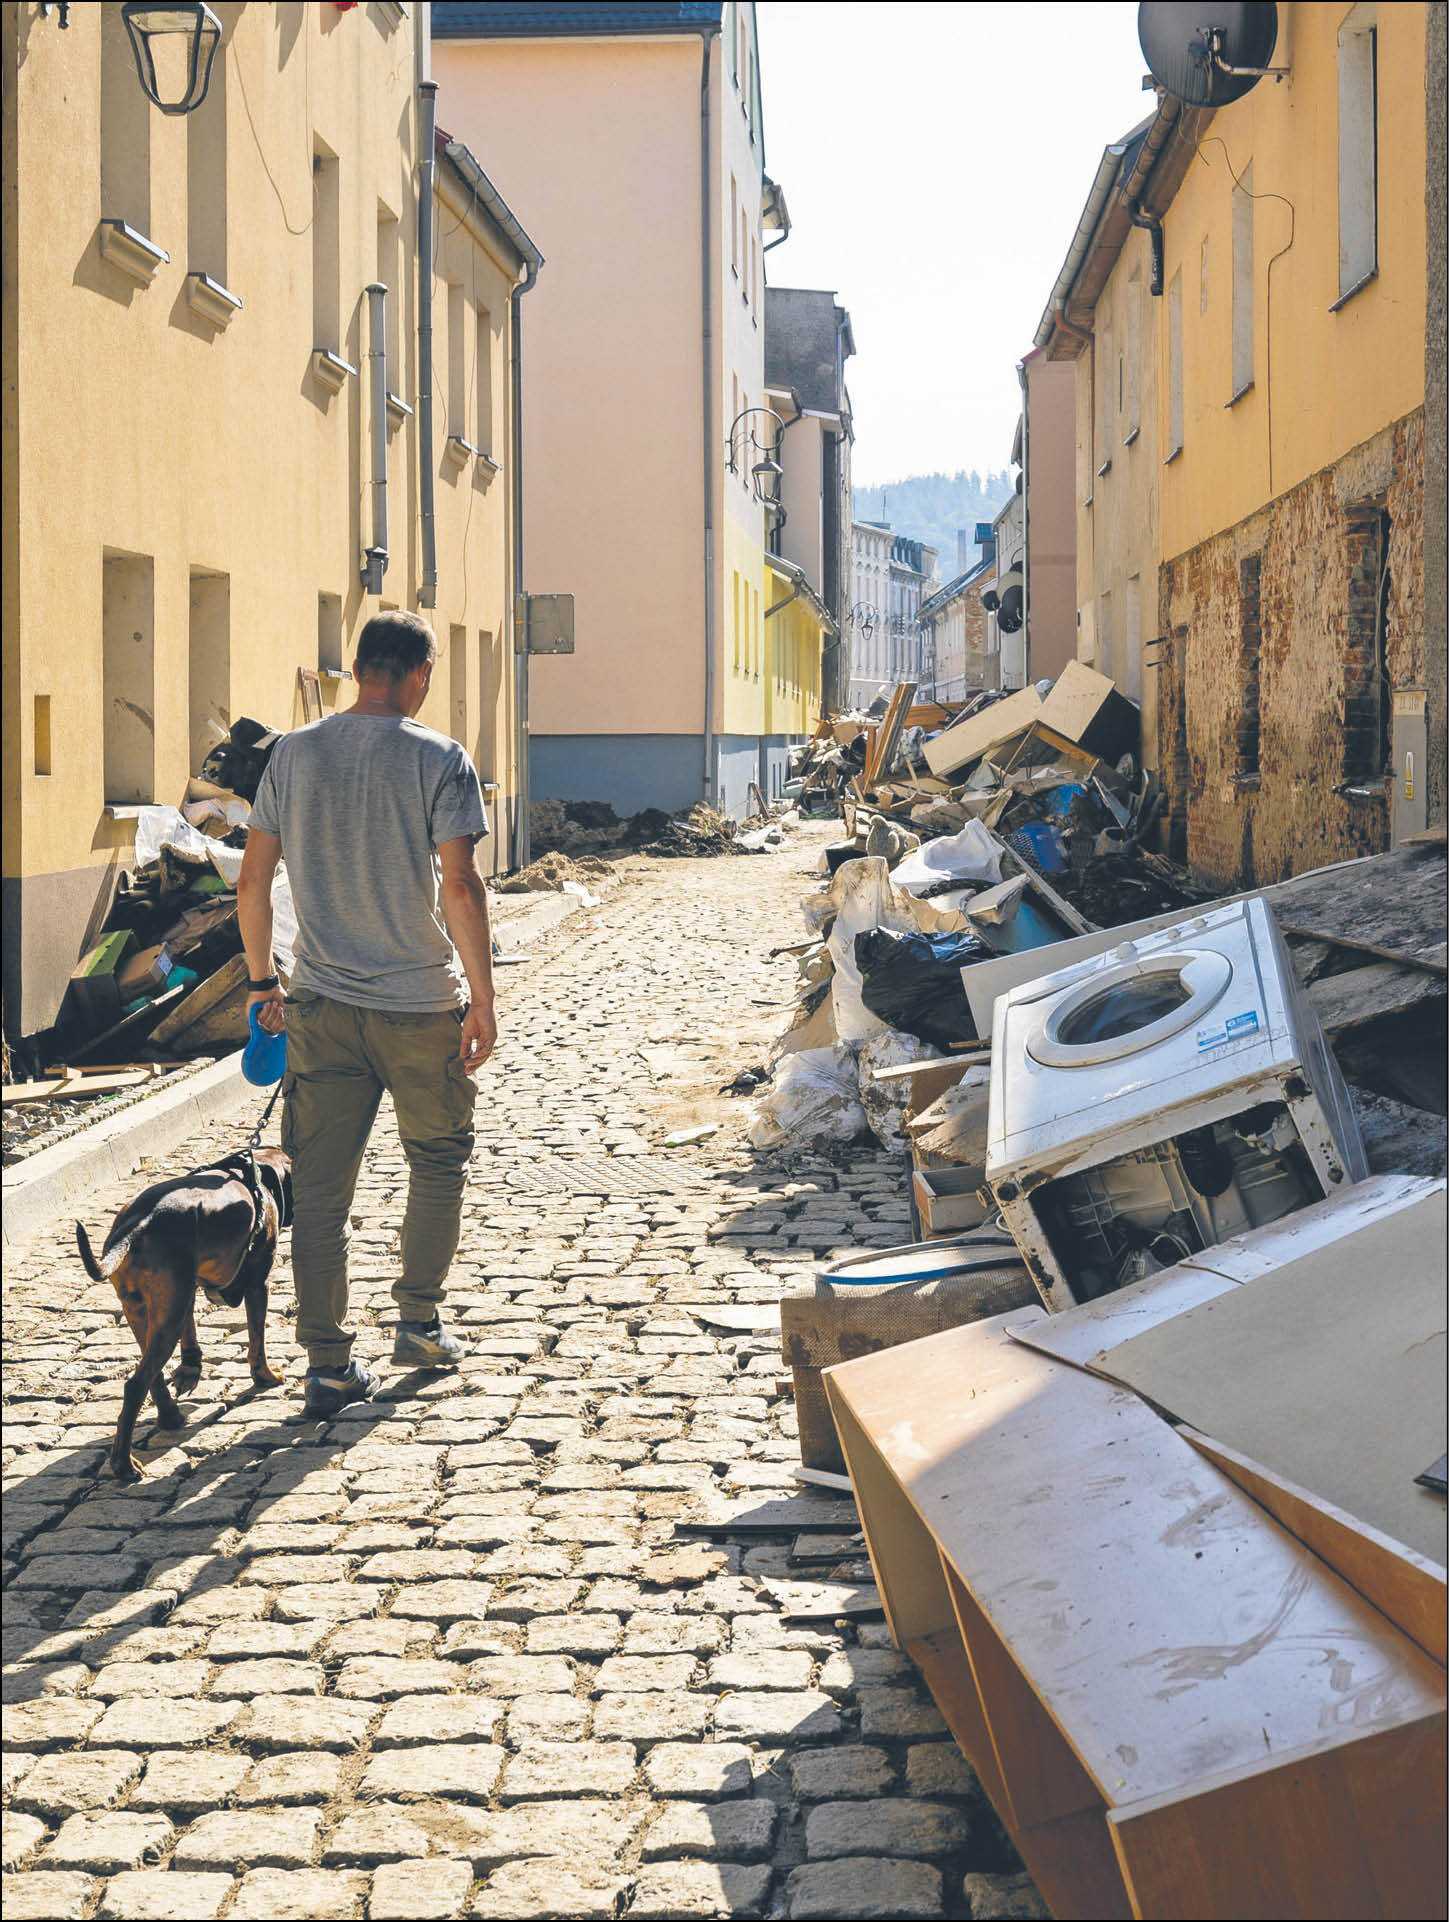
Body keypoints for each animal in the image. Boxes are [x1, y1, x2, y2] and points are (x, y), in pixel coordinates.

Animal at [75, 1137, 290, 1483]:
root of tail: (139, 1223)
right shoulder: (258, 1284)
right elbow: (257, 1342)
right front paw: (266, 1377)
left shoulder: (187, 1291)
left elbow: (191, 1338)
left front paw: (191, 1368)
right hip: (167, 1315)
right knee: (135, 1385)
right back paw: (124, 1465)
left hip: (147, 1311)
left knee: (153, 1376)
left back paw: (170, 1417)